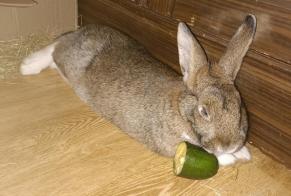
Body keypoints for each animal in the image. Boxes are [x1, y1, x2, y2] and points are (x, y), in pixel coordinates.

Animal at [20, 14, 256, 166]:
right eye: (204, 111)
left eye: (240, 108)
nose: (228, 145)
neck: (180, 109)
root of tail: (82, 30)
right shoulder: (171, 144)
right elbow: (210, 155)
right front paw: (231, 157)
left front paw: (242, 152)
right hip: (69, 58)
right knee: (56, 47)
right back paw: (27, 66)